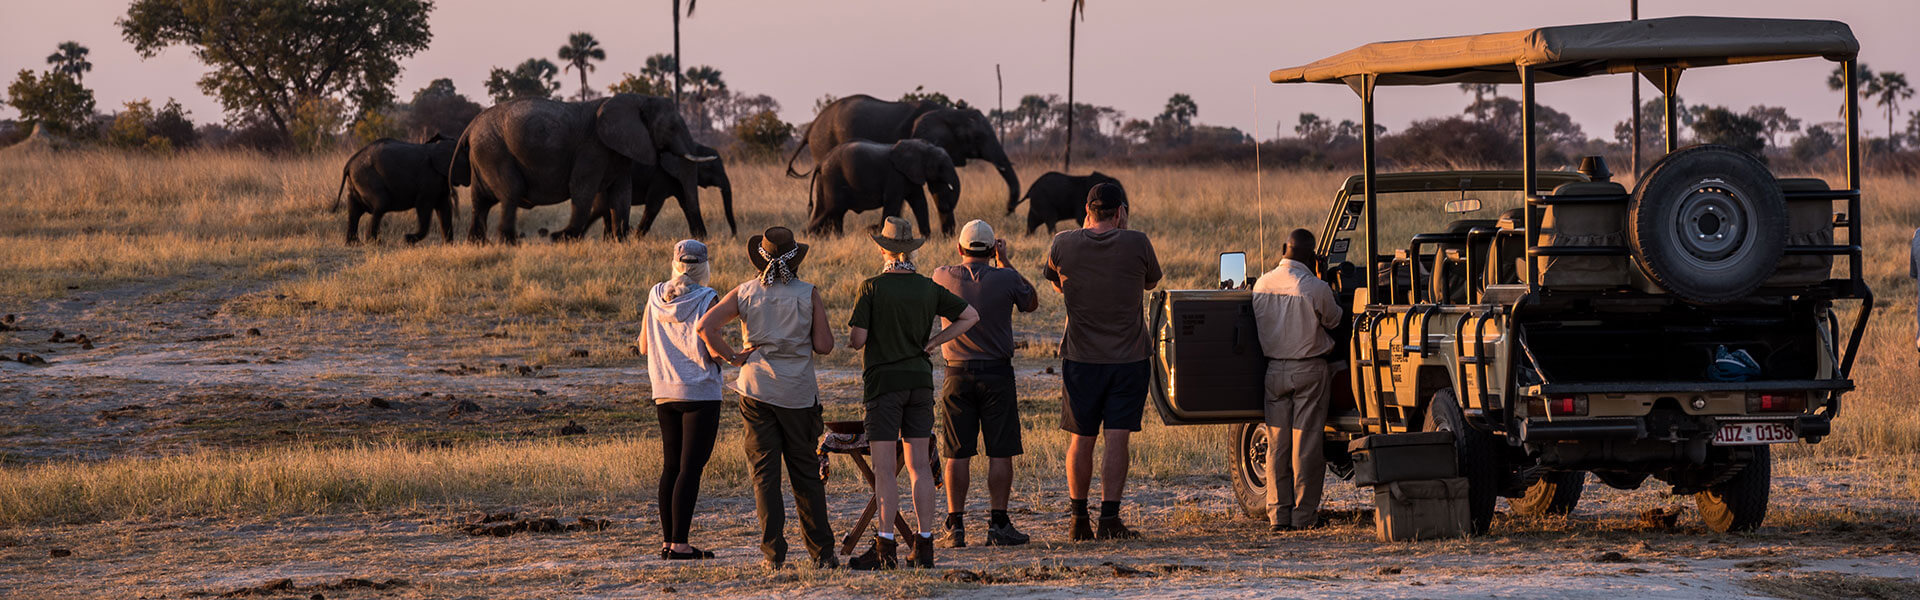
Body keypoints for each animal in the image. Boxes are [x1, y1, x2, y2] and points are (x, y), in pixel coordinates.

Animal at [449, 93, 714, 244]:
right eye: (671, 127)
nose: (702, 238)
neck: (635, 99)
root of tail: (469, 127)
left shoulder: (617, 149)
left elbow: (622, 192)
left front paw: (621, 240)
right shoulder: (593, 147)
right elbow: (582, 188)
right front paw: (563, 238)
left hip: (483, 155)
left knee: (481, 201)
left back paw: (477, 243)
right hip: (494, 152)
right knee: (511, 193)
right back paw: (509, 242)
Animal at [787, 93, 1021, 215]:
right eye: (978, 137)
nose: (1007, 210)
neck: (949, 112)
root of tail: (812, 125)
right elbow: (936, 187)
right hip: (825, 144)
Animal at [806, 139, 960, 235]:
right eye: (941, 166)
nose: (948, 236)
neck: (922, 145)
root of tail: (821, 163)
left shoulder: (910, 175)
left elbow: (919, 202)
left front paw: (926, 238)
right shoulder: (895, 175)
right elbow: (893, 203)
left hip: (824, 180)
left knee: (828, 210)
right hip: (833, 178)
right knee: (833, 208)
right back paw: (810, 236)